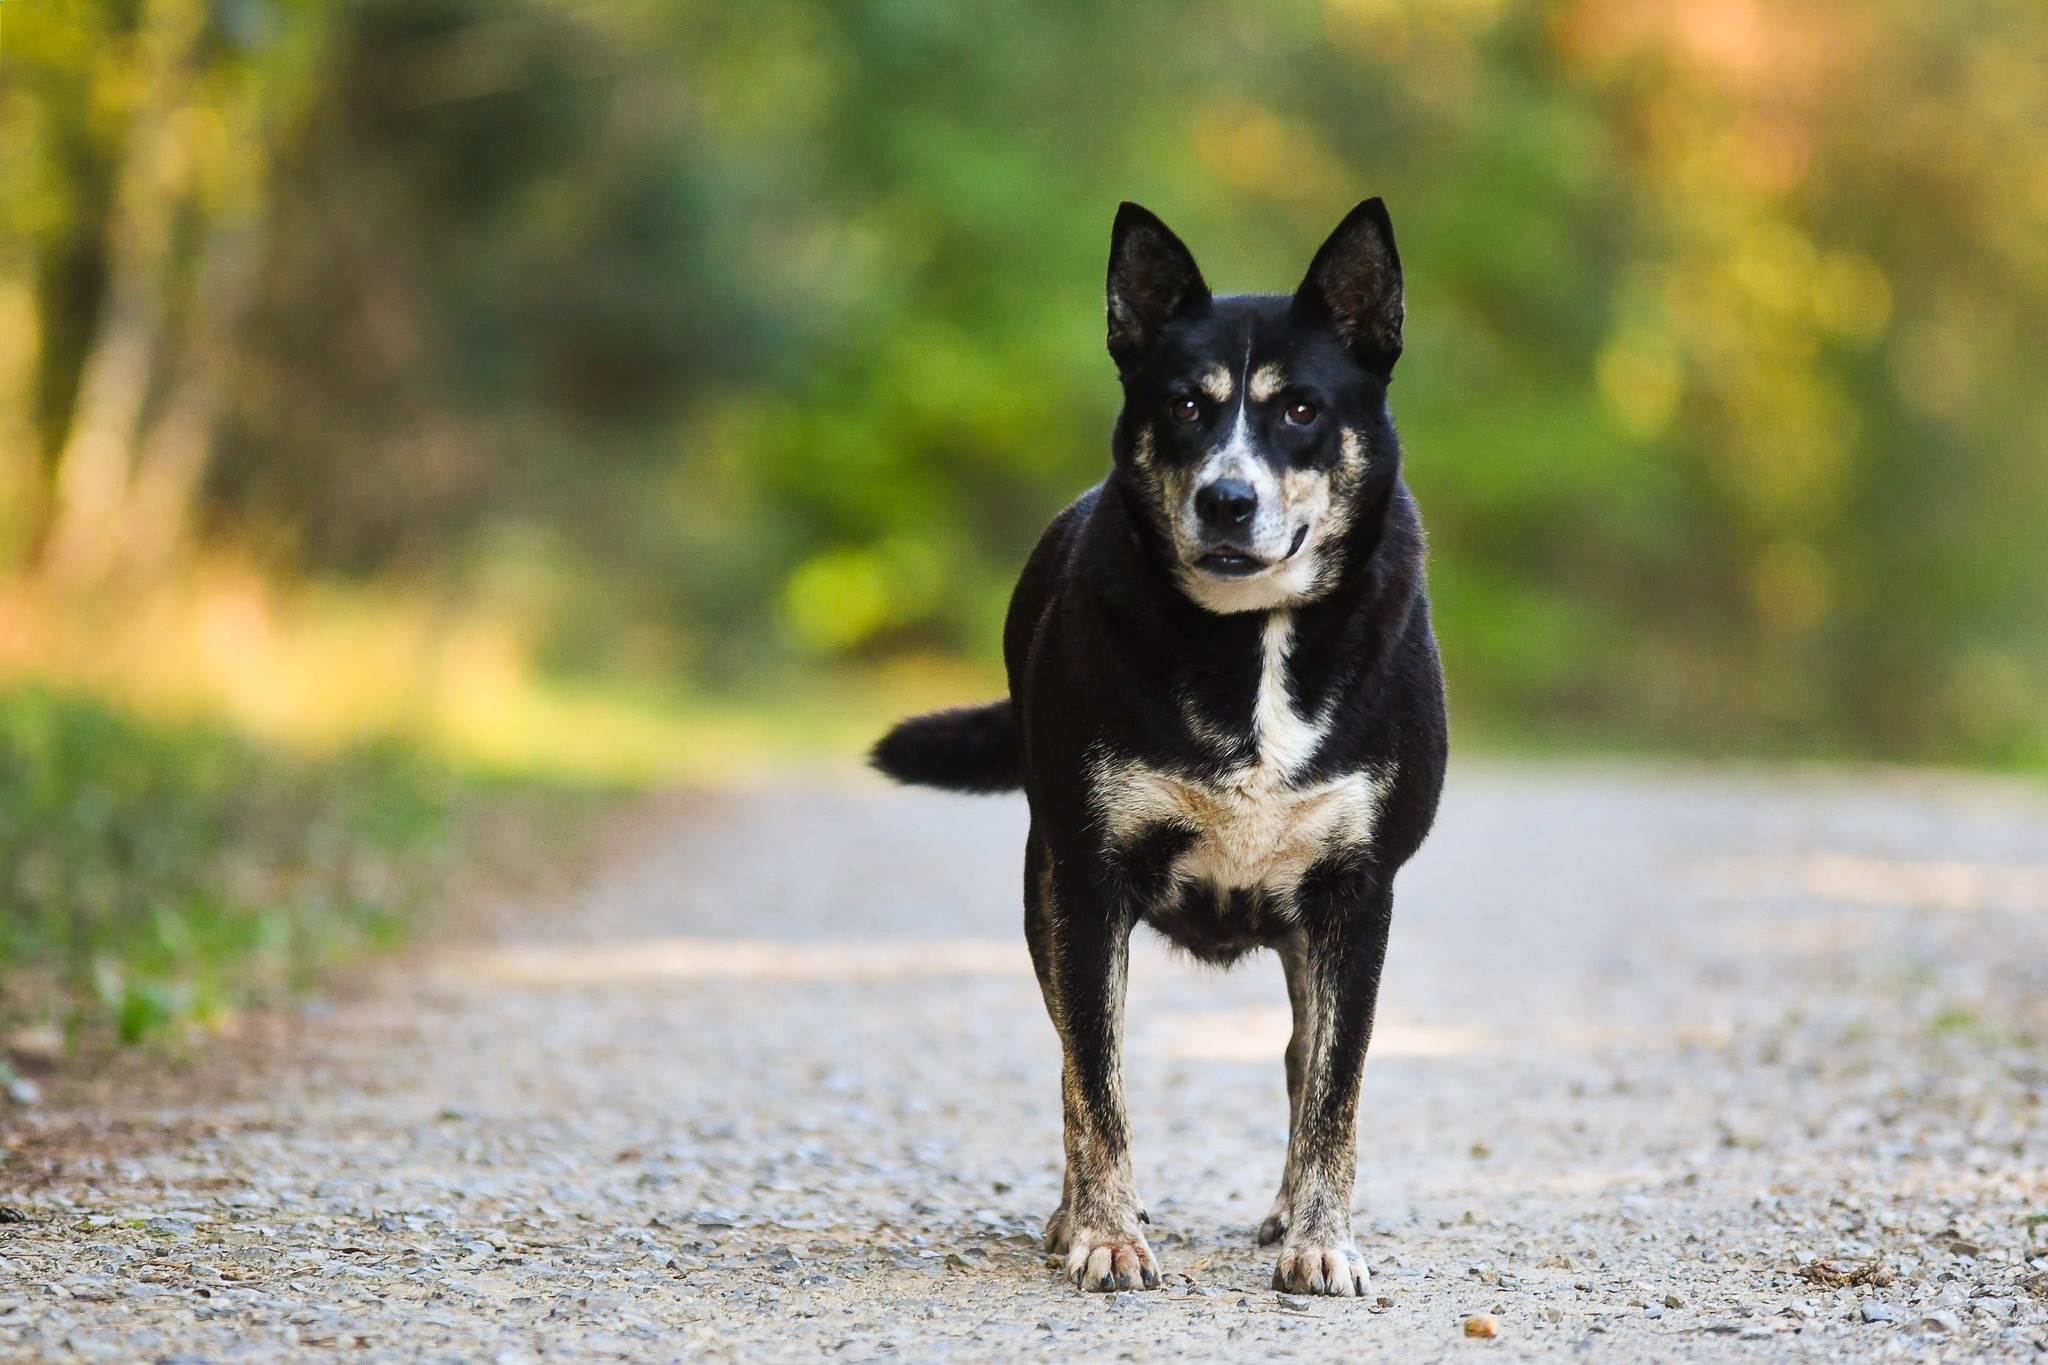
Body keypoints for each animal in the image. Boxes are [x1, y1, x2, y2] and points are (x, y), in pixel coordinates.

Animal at [871, 200, 1447, 1297]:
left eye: (1300, 410)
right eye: (1184, 405)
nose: (1226, 499)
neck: (1250, 639)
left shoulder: (1360, 896)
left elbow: (1335, 1088)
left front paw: (1320, 1237)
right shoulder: (1088, 884)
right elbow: (1094, 1080)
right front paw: (1103, 1232)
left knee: (1297, 1055)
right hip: (1043, 889)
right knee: (1073, 1051)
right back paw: (1076, 1212)